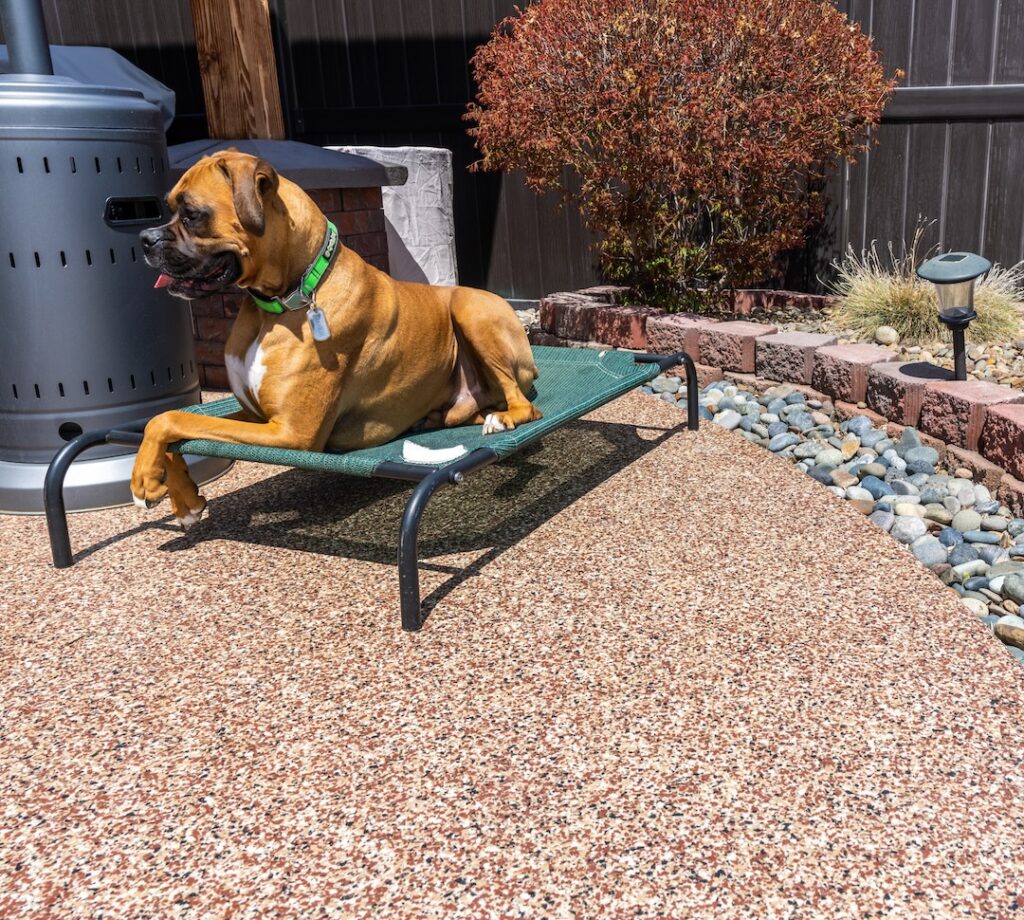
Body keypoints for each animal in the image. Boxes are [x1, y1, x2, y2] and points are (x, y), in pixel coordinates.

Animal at [132, 149, 540, 524]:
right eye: (170, 207)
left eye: (191, 213)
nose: (144, 238)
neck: (285, 299)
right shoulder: (253, 416)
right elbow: (182, 425)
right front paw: (183, 499)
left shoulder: (291, 432)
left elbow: (171, 418)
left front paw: (143, 479)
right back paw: (436, 418)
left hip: (469, 308)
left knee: (524, 405)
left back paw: (502, 419)